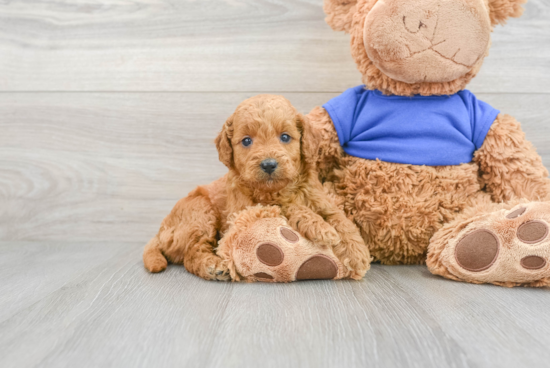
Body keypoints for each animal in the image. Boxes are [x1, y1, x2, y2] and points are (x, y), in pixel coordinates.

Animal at [144, 94, 374, 278]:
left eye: (285, 137)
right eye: (246, 141)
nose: (269, 164)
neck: (279, 189)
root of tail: (160, 232)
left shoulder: (321, 200)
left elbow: (342, 220)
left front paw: (358, 253)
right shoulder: (243, 210)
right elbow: (286, 206)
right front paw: (320, 227)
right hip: (200, 212)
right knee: (192, 254)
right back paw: (214, 267)